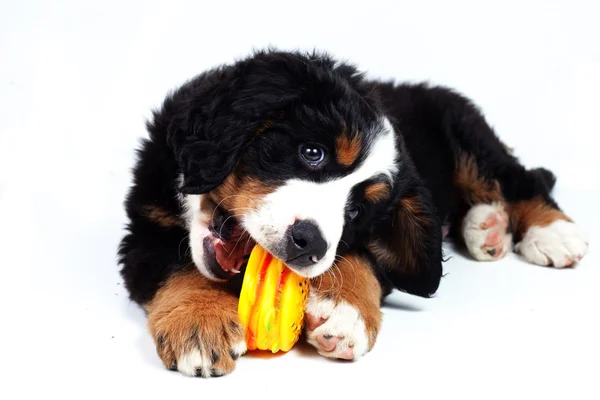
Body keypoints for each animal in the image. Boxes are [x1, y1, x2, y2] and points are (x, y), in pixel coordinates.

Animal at [116, 48, 584, 376]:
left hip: (465, 129)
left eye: (357, 211)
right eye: (312, 153)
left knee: (519, 177)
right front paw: (200, 325)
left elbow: (361, 259)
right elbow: (180, 269)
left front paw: (346, 313)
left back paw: (551, 233)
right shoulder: (142, 229)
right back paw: (487, 227)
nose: (308, 244)